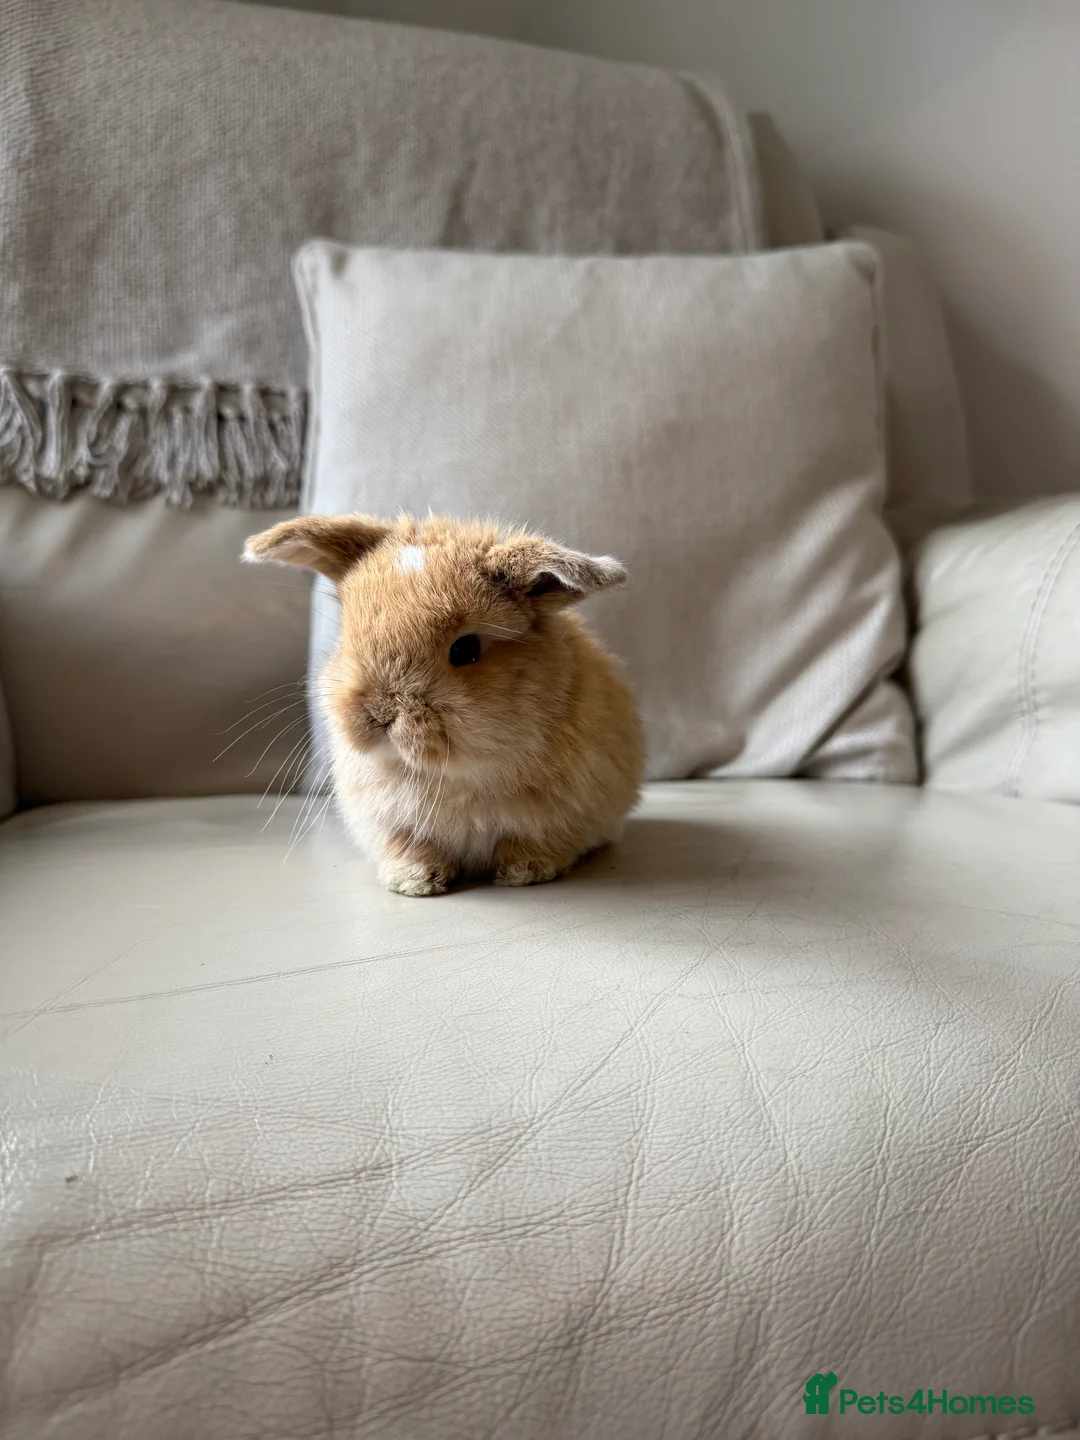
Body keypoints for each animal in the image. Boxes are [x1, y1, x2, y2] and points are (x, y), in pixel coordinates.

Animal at [243, 513, 644, 896]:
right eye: (348, 634)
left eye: (465, 649)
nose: (378, 714)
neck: (453, 772)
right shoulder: (395, 823)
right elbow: (412, 848)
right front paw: (413, 881)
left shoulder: (560, 815)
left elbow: (533, 842)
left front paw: (525, 873)